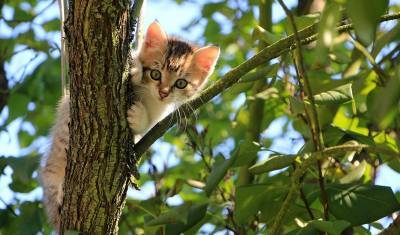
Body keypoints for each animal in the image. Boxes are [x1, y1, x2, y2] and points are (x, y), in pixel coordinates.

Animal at [39, 21, 220, 230]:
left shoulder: (158, 116)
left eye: (181, 83)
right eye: (156, 74)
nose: (164, 92)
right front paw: (135, 71)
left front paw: (138, 117)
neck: (150, 97)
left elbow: (147, 126)